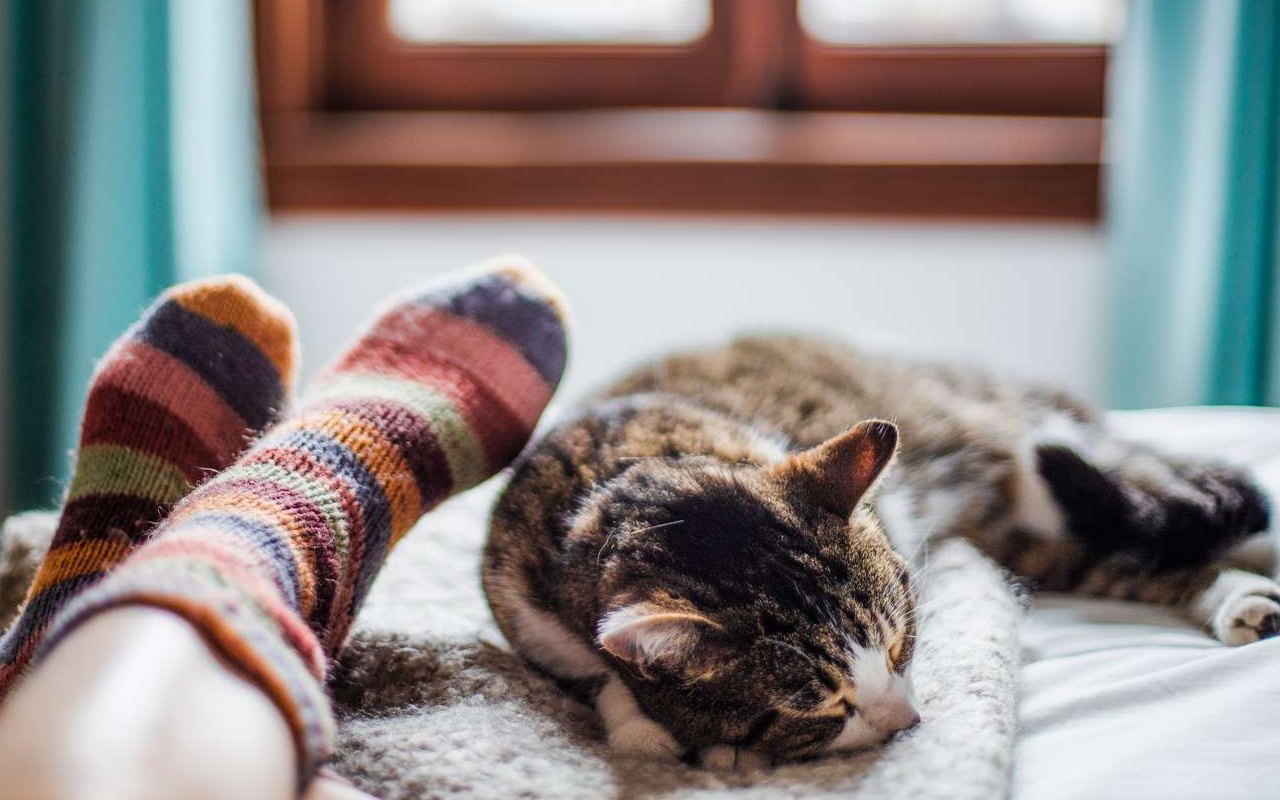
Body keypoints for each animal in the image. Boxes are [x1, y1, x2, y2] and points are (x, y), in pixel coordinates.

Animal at [481, 332, 1280, 768]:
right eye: (823, 705)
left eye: (902, 646)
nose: (907, 724)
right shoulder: (524, 612)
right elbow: (597, 674)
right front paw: (645, 729)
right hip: (1028, 532)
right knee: (1122, 552)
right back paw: (1239, 596)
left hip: (1031, 444)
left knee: (1164, 498)